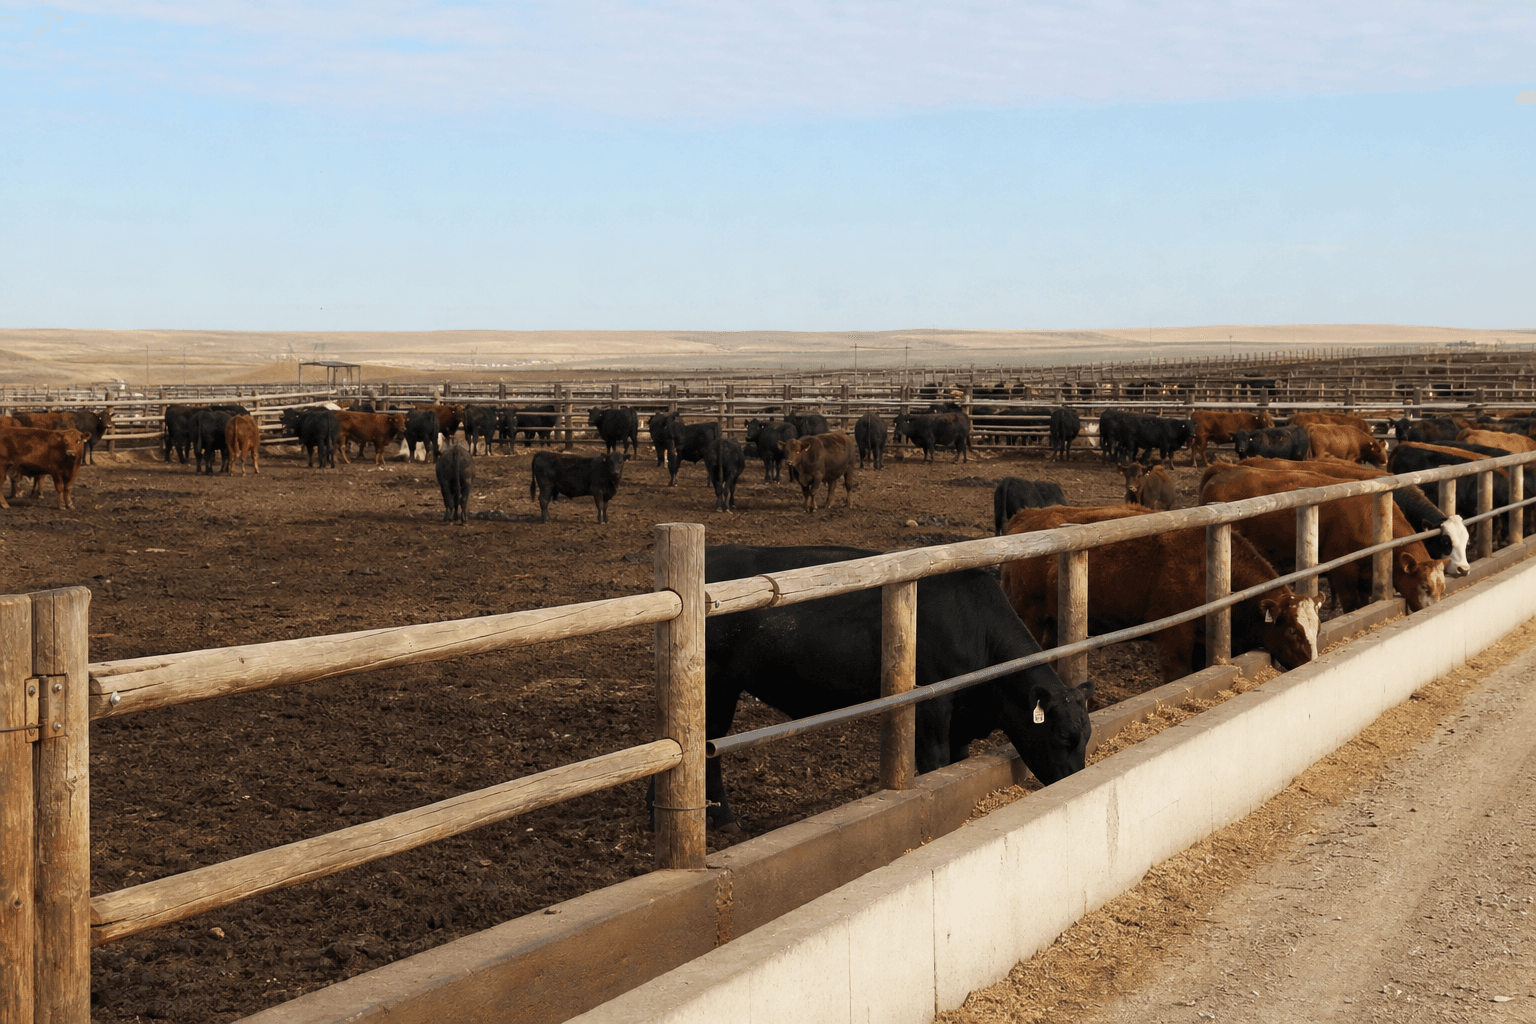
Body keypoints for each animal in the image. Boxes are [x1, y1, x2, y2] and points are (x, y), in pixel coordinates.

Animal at [693, 544, 1094, 827]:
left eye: (1087, 736)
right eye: (1062, 737)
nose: (1076, 778)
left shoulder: (961, 720)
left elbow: (957, 760)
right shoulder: (932, 706)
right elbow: (934, 762)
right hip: (716, 683)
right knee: (708, 746)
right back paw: (724, 820)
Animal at [1000, 504, 1320, 682]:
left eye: (1316, 628)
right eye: (1292, 631)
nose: (1313, 662)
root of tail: (1025, 517)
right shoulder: (1174, 636)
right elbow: (1176, 674)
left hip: (1055, 624)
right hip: (1027, 616)